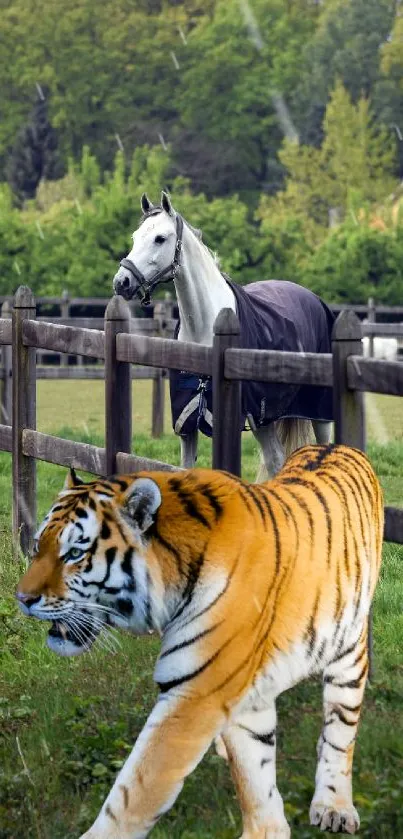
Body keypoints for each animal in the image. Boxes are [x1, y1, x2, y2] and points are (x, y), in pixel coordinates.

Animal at [15, 442, 384, 836]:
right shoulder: (239, 696)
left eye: (74, 554)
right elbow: (255, 780)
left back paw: (334, 806)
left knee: (339, 733)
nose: (22, 599)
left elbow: (133, 793)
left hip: (349, 654)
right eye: (37, 546)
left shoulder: (197, 693)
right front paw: (268, 829)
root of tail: (335, 445)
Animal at [112, 193, 332, 476]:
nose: (122, 282)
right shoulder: (186, 423)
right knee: (275, 459)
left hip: (317, 412)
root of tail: (314, 299)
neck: (204, 328)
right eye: (135, 236)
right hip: (265, 420)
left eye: (160, 238)